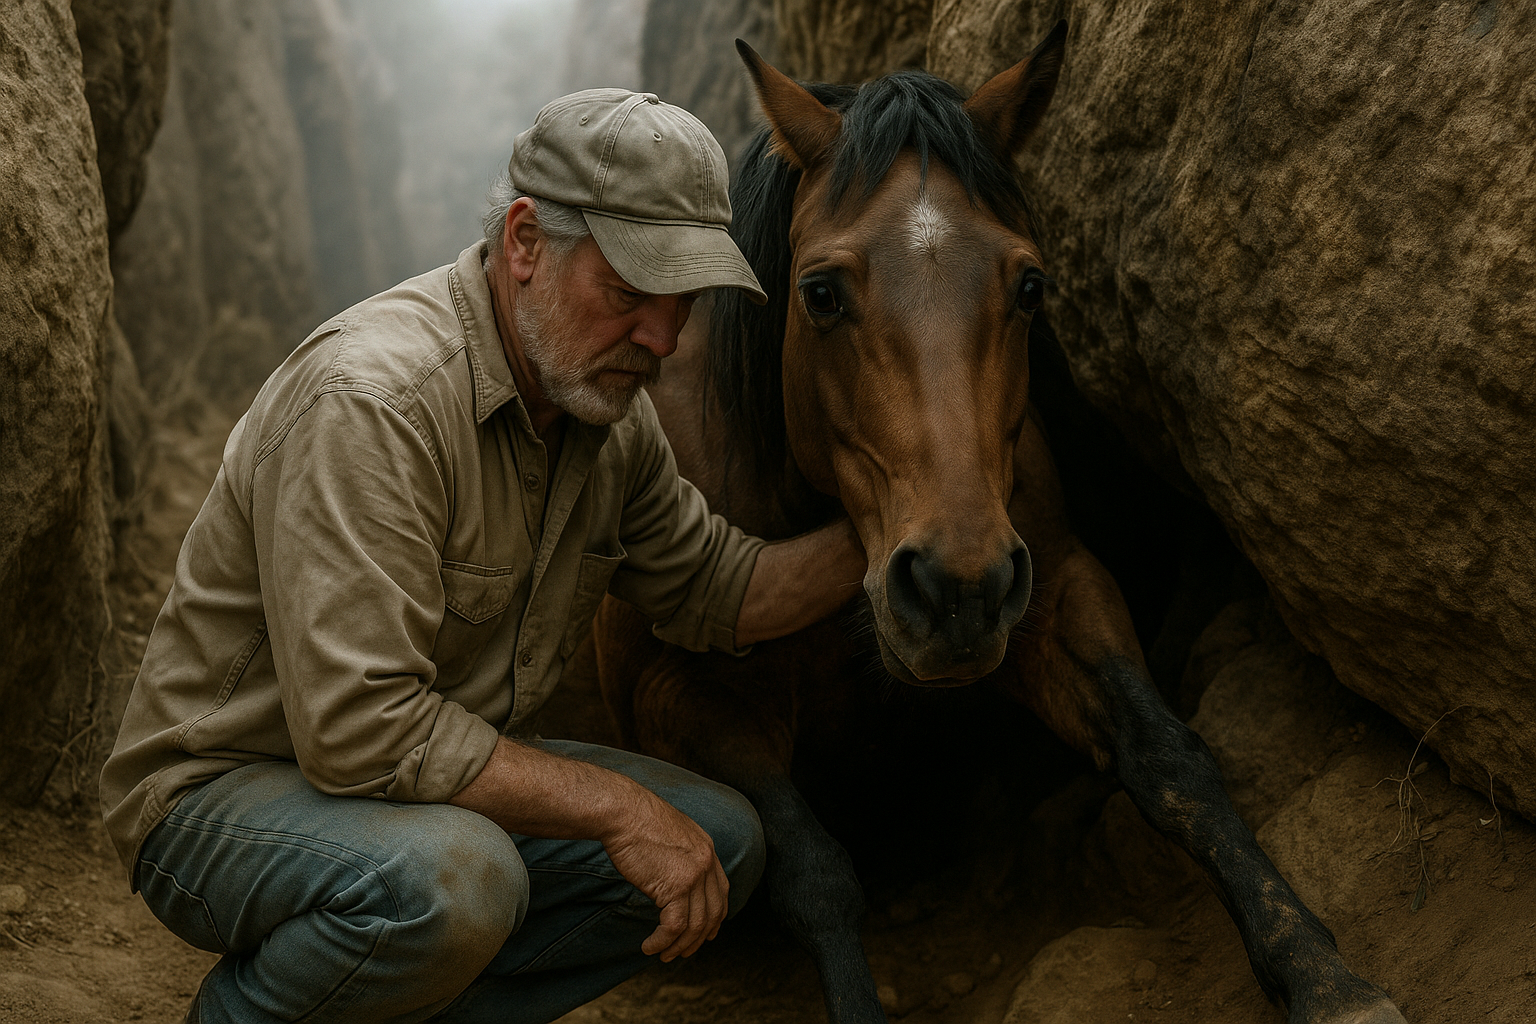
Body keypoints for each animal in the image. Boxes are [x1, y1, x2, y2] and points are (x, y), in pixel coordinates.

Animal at [589, 24, 1408, 1024]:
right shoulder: (680, 698)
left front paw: (1325, 980)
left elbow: (1173, 765)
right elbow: (813, 873)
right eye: (819, 293)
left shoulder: (1059, 592)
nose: (957, 587)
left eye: (1030, 287)